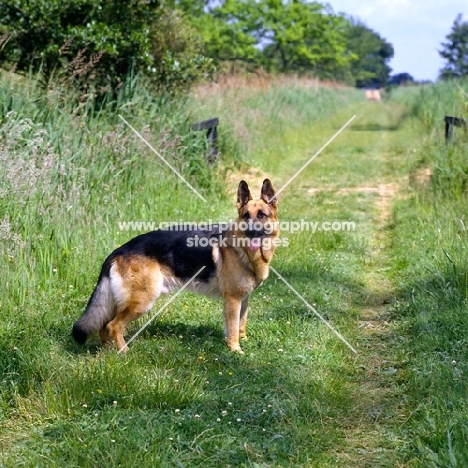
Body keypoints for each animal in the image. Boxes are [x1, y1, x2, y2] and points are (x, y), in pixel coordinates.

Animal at [72, 180, 278, 354]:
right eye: (245, 216)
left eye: (261, 215)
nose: (251, 232)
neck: (242, 250)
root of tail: (118, 250)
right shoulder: (233, 300)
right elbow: (233, 328)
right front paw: (235, 351)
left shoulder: (243, 299)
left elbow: (241, 324)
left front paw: (243, 342)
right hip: (141, 302)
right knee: (113, 326)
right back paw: (124, 353)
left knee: (104, 326)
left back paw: (107, 352)